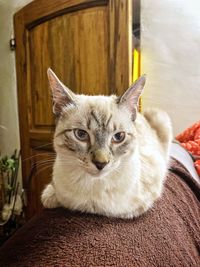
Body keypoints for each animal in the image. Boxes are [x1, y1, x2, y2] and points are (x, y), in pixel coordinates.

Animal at [41, 68, 173, 219]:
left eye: (119, 137)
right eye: (81, 134)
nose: (101, 163)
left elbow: (123, 211)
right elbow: (53, 196)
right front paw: (51, 196)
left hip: (160, 117)